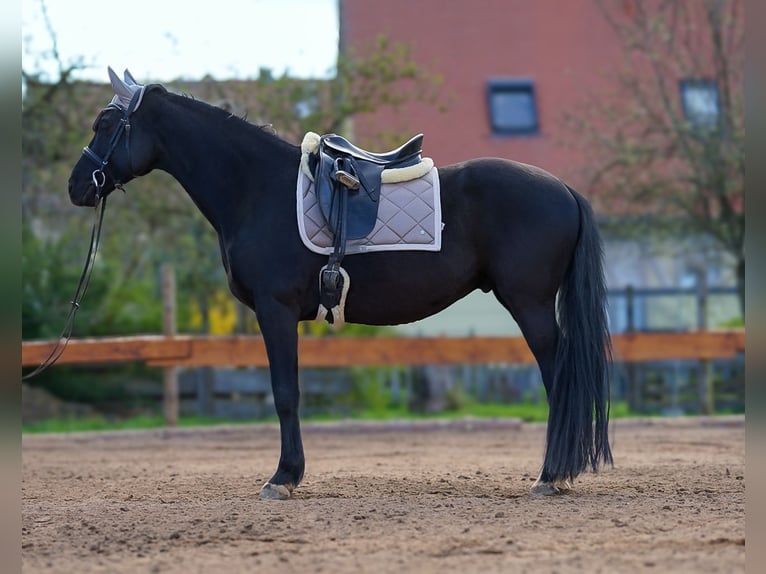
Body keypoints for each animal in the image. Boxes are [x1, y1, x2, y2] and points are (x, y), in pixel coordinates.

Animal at [69, 68, 616, 500]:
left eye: (105, 124)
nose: (76, 186)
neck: (254, 188)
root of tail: (564, 189)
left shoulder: (275, 310)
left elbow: (285, 392)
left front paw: (283, 478)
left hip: (530, 304)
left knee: (559, 378)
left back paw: (551, 475)